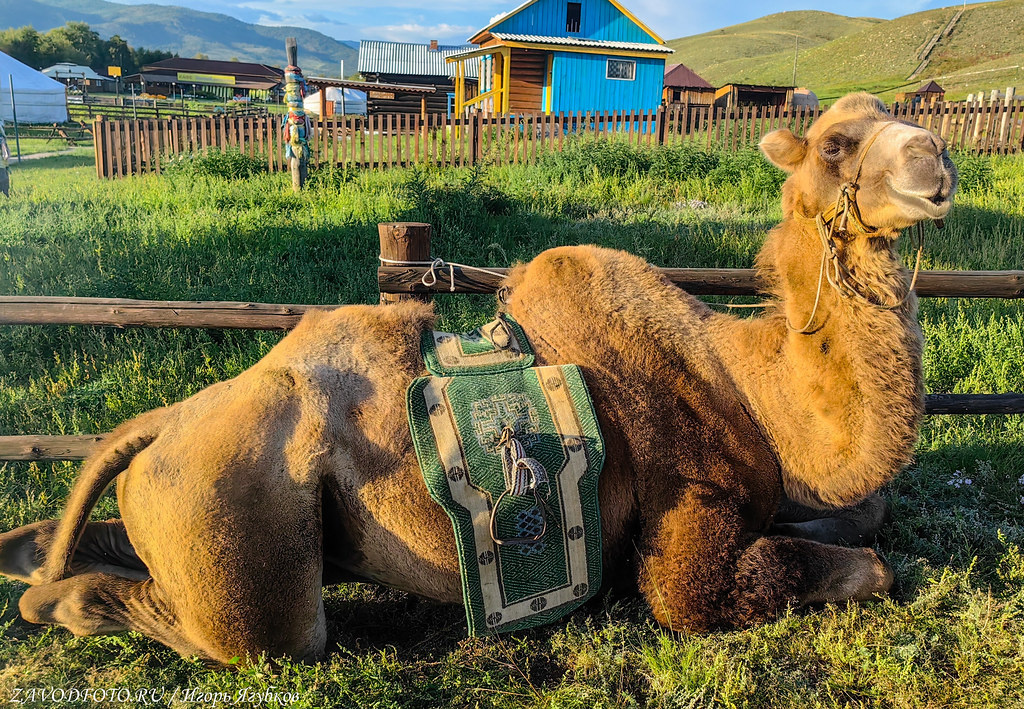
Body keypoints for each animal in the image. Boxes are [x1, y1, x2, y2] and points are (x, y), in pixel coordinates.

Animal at [0, 94, 954, 663]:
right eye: (837, 144)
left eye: (901, 114)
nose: (935, 162)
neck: (746, 383)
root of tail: (161, 424)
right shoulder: (688, 530)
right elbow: (826, 569)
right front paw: (871, 564)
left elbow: (865, 510)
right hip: (242, 539)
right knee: (230, 625)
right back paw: (58, 600)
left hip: (174, 492)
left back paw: (29, 557)